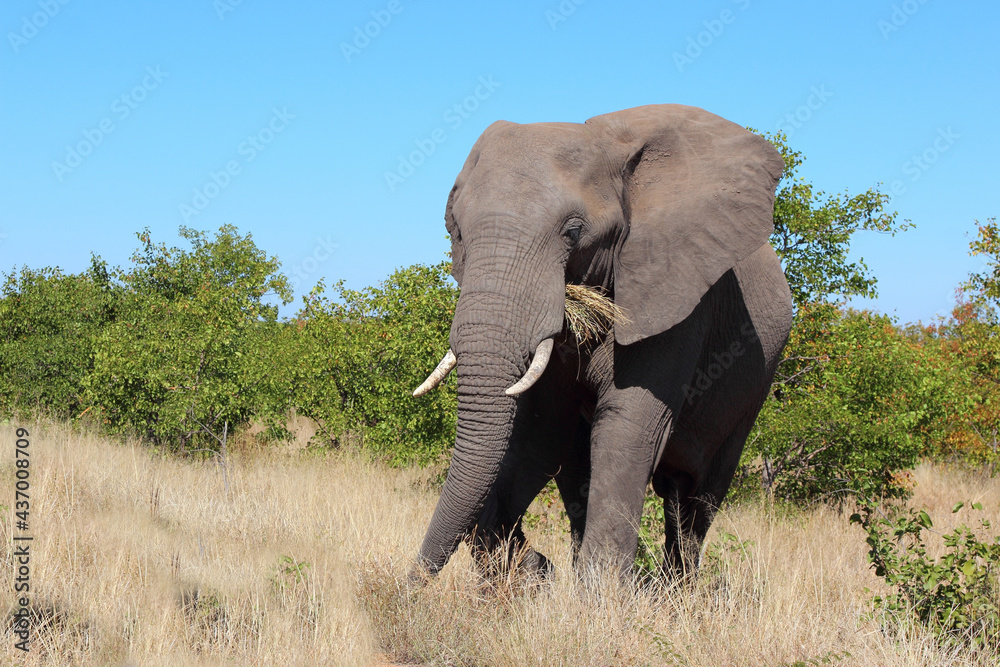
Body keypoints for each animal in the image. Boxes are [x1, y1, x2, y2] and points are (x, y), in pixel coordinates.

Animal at [411, 104, 792, 580]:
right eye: (456, 232)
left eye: (574, 232)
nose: (407, 585)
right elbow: (541, 432)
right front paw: (533, 572)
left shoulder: (676, 297)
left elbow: (627, 426)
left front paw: (599, 594)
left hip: (754, 385)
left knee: (696, 499)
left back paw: (676, 590)